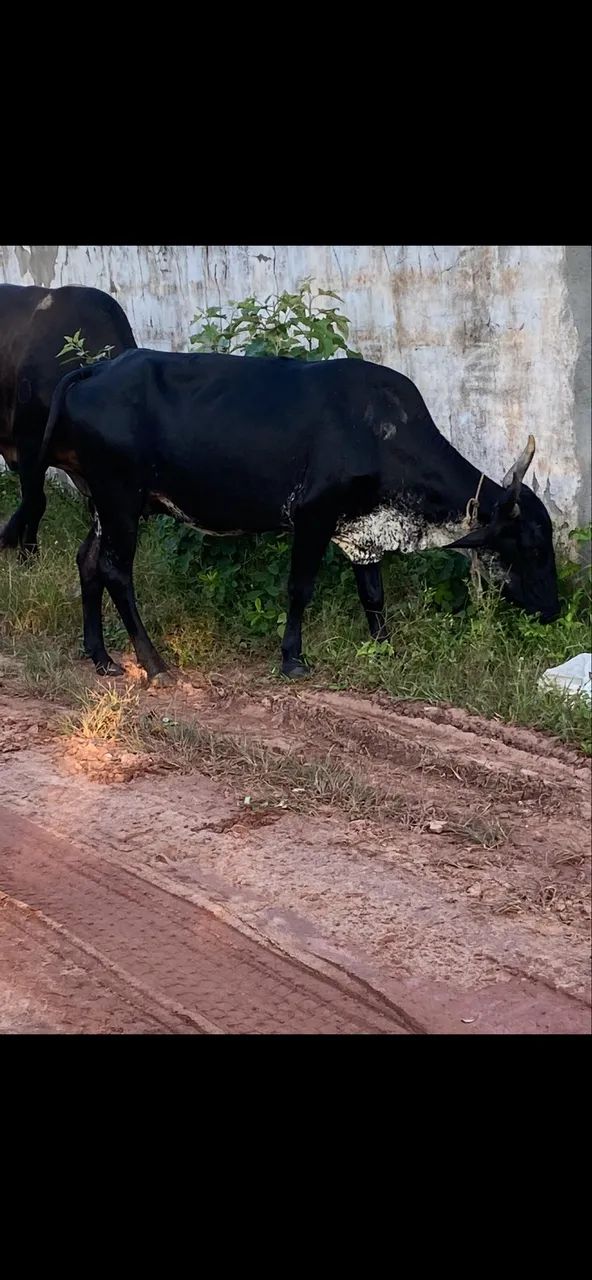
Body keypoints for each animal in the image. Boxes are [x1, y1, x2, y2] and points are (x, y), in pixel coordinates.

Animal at [2, 348, 560, 683]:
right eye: (533, 544)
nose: (554, 610)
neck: (381, 433)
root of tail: (98, 368)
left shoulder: (362, 533)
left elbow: (373, 594)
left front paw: (385, 646)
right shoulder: (313, 517)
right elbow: (300, 589)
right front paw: (292, 658)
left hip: (104, 501)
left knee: (87, 561)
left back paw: (100, 656)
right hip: (120, 498)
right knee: (115, 569)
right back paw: (153, 662)